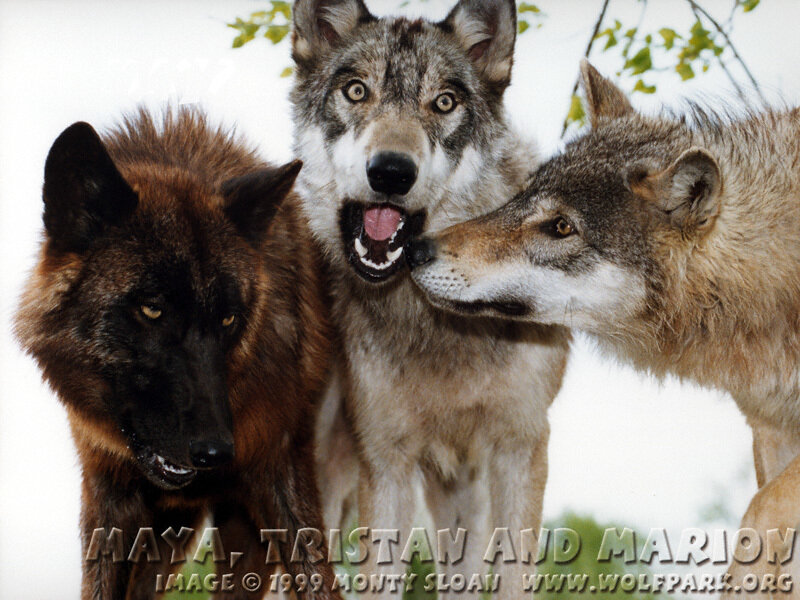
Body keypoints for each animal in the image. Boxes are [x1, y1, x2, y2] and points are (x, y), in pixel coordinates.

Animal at [15, 108, 341, 599]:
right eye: (152, 309)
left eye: (228, 319)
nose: (215, 452)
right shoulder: (108, 496)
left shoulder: (281, 470)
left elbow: (317, 577)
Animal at [289, 0, 570, 596]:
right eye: (356, 91)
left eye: (443, 102)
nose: (392, 172)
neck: (436, 322)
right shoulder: (385, 461)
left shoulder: (518, 449)